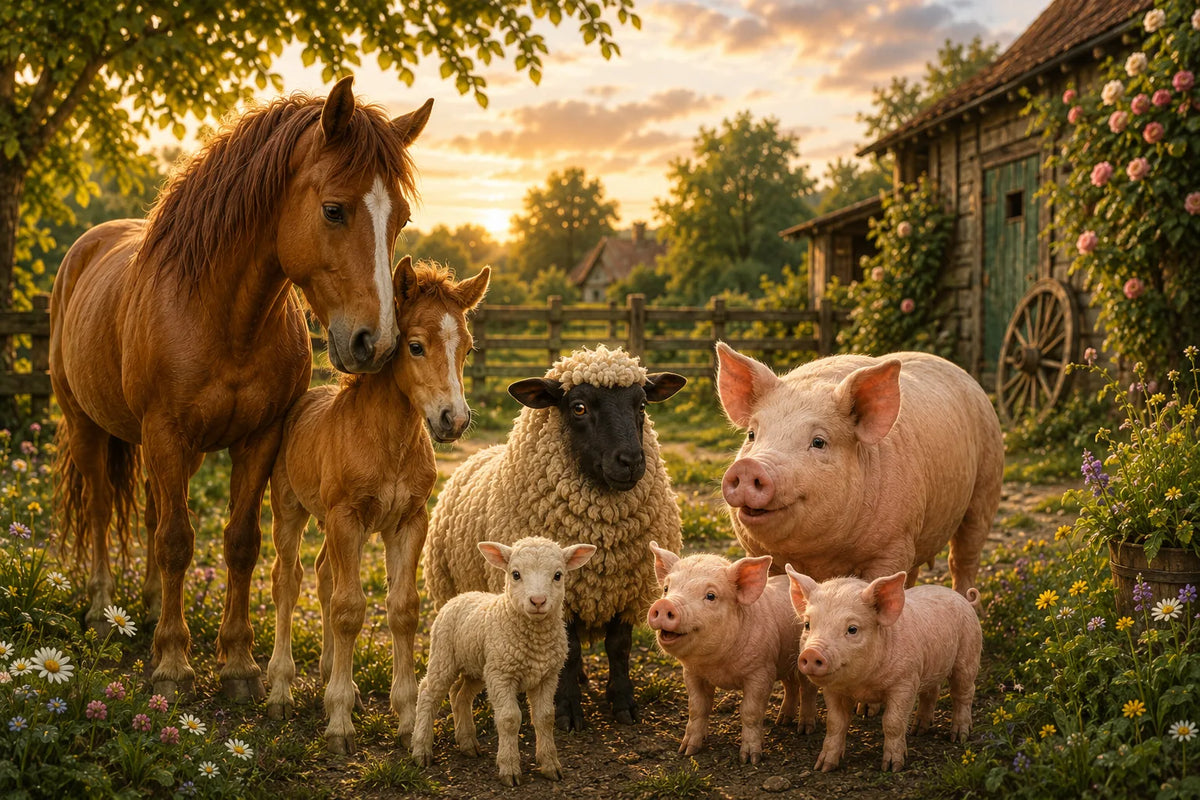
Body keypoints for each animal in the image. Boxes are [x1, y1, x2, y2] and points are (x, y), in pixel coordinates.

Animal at [49, 75, 433, 700]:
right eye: (333, 210)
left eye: (398, 219)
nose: (375, 343)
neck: (224, 318)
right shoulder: (167, 433)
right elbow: (179, 542)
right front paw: (173, 663)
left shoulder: (259, 439)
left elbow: (239, 543)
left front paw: (238, 663)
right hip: (89, 428)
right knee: (106, 511)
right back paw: (102, 610)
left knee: (152, 516)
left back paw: (149, 609)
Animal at [264, 256, 489, 754]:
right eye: (416, 346)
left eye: (466, 349)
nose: (453, 420)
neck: (387, 441)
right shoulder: (346, 518)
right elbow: (350, 610)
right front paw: (340, 724)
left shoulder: (407, 521)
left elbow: (402, 608)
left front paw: (404, 718)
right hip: (290, 512)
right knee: (288, 582)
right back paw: (281, 691)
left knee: (324, 575)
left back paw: (332, 676)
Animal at [411, 536, 596, 786]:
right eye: (515, 574)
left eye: (558, 575)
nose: (538, 601)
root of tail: (460, 596)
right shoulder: (502, 675)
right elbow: (509, 718)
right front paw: (509, 768)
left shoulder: (547, 676)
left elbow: (545, 717)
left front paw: (550, 765)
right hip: (444, 655)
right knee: (428, 693)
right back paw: (421, 749)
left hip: (478, 667)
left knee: (460, 695)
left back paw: (468, 743)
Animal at [424, 345, 686, 730]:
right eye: (578, 407)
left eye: (641, 405)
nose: (631, 461)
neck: (604, 538)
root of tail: (482, 451)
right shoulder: (562, 594)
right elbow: (573, 651)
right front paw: (567, 711)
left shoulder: (626, 589)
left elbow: (618, 647)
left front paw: (623, 704)